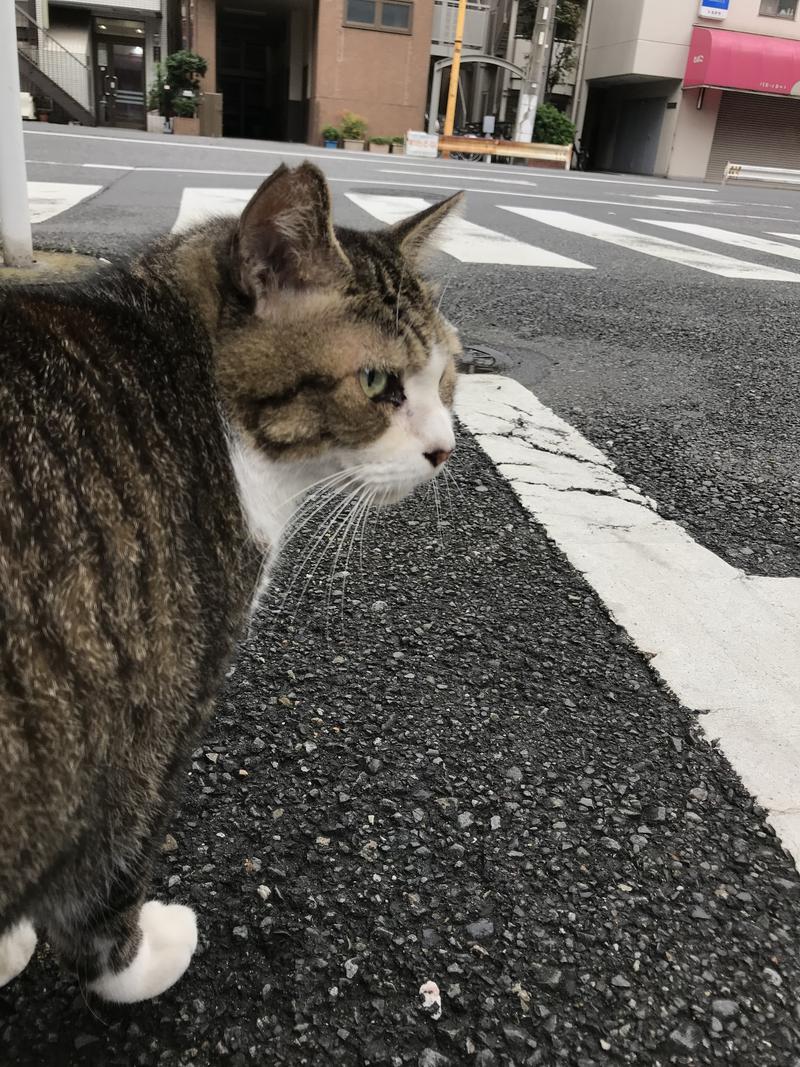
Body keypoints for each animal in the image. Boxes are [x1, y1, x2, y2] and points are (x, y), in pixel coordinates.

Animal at [0, 162, 462, 1002]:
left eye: (446, 374)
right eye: (377, 380)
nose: (447, 450)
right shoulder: (150, 719)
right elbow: (106, 895)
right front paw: (146, 959)